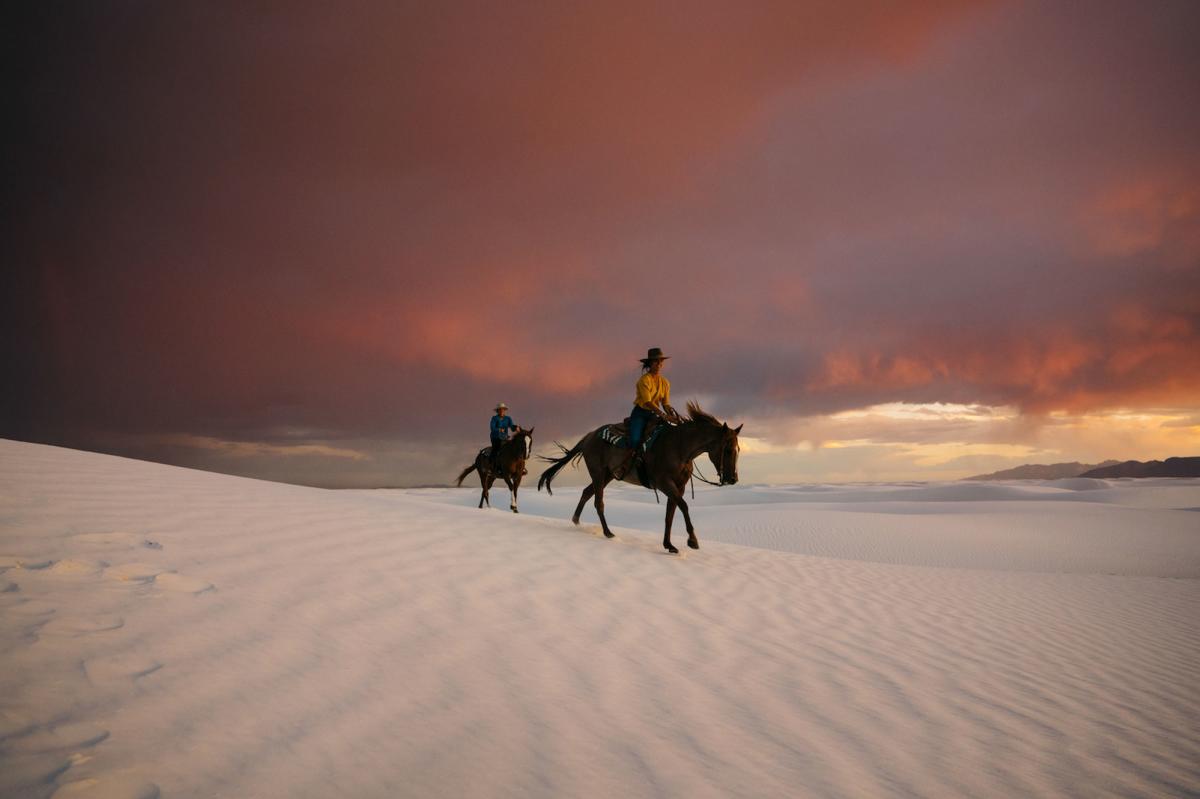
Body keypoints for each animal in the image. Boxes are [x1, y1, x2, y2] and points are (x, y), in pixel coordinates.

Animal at [537, 400, 739, 551]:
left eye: (737, 449)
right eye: (728, 450)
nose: (733, 479)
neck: (679, 447)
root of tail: (589, 437)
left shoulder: (678, 486)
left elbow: (670, 514)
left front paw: (669, 545)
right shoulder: (664, 483)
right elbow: (683, 506)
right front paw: (692, 541)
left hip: (608, 475)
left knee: (587, 492)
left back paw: (577, 521)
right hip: (598, 473)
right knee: (598, 501)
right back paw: (607, 532)